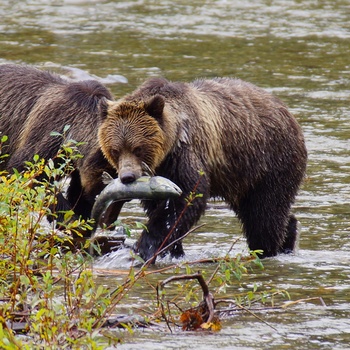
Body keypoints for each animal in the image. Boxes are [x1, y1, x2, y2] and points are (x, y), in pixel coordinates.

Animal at [0, 64, 119, 228]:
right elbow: (28, 172)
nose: (109, 221)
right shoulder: (50, 132)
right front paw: (69, 218)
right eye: (106, 183)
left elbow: (78, 192)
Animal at [98, 77, 306, 262]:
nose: (127, 177)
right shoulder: (161, 173)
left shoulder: (185, 154)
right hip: (241, 178)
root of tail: (288, 113)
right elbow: (158, 205)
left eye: (138, 148)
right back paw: (289, 235)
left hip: (269, 162)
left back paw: (268, 249)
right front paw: (174, 250)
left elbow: (187, 198)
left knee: (265, 215)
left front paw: (145, 247)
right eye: (115, 150)